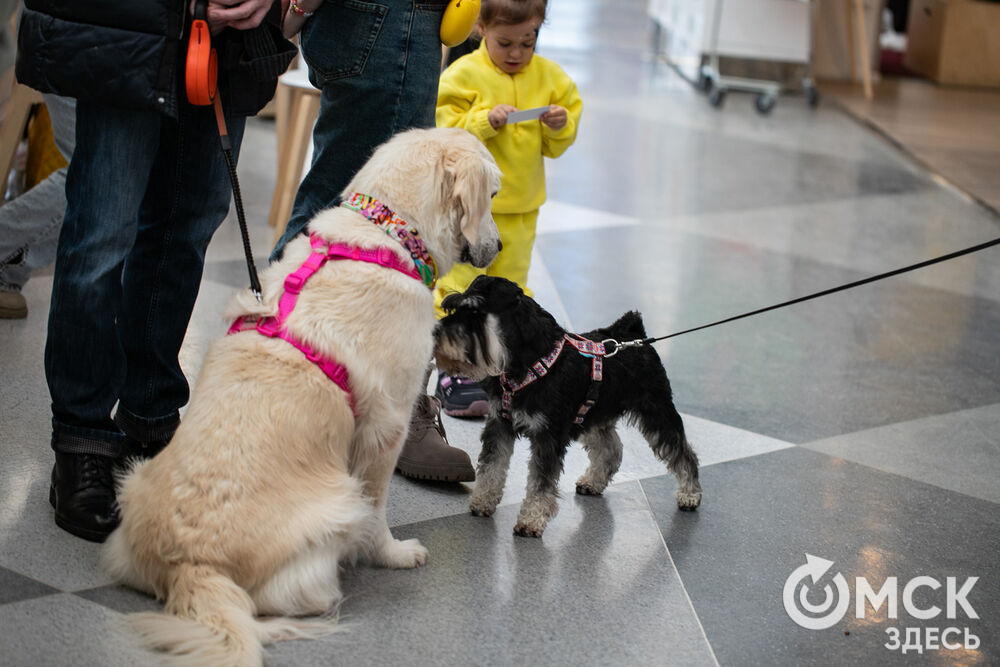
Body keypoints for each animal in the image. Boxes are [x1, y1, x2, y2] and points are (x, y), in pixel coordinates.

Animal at [103, 128, 500, 664]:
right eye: (494, 195)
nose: (500, 245)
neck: (387, 235)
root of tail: (191, 566)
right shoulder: (387, 427)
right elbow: (377, 510)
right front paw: (394, 554)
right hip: (335, 509)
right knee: (284, 601)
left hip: (132, 483)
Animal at [438, 276, 704, 536]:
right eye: (453, 307)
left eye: (475, 312)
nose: (437, 332)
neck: (531, 362)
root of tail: (633, 334)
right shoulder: (499, 426)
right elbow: (491, 467)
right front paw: (483, 501)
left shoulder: (548, 437)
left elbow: (540, 482)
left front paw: (531, 520)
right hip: (591, 416)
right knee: (611, 447)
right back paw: (593, 482)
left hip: (657, 413)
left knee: (683, 452)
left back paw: (690, 494)